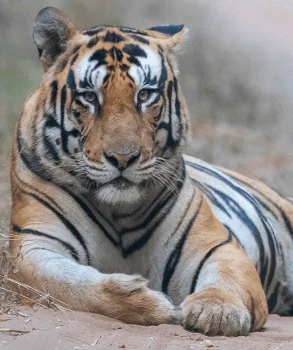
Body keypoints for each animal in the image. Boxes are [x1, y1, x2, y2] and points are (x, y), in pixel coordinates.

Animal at [9, 6, 292, 338]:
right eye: (90, 97)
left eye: (145, 95)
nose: (122, 158)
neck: (119, 211)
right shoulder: (32, 247)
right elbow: (69, 284)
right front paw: (146, 301)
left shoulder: (218, 245)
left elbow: (225, 277)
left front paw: (217, 311)